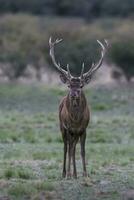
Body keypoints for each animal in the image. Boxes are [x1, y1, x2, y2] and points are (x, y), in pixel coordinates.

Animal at [49, 37, 108, 178]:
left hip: (75, 133)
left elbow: (82, 151)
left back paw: (73, 173)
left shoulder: (83, 129)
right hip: (62, 127)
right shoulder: (69, 128)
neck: (76, 120)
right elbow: (70, 150)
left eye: (81, 85)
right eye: (69, 85)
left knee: (73, 148)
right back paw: (65, 173)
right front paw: (72, 174)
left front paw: (85, 173)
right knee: (66, 148)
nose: (73, 94)